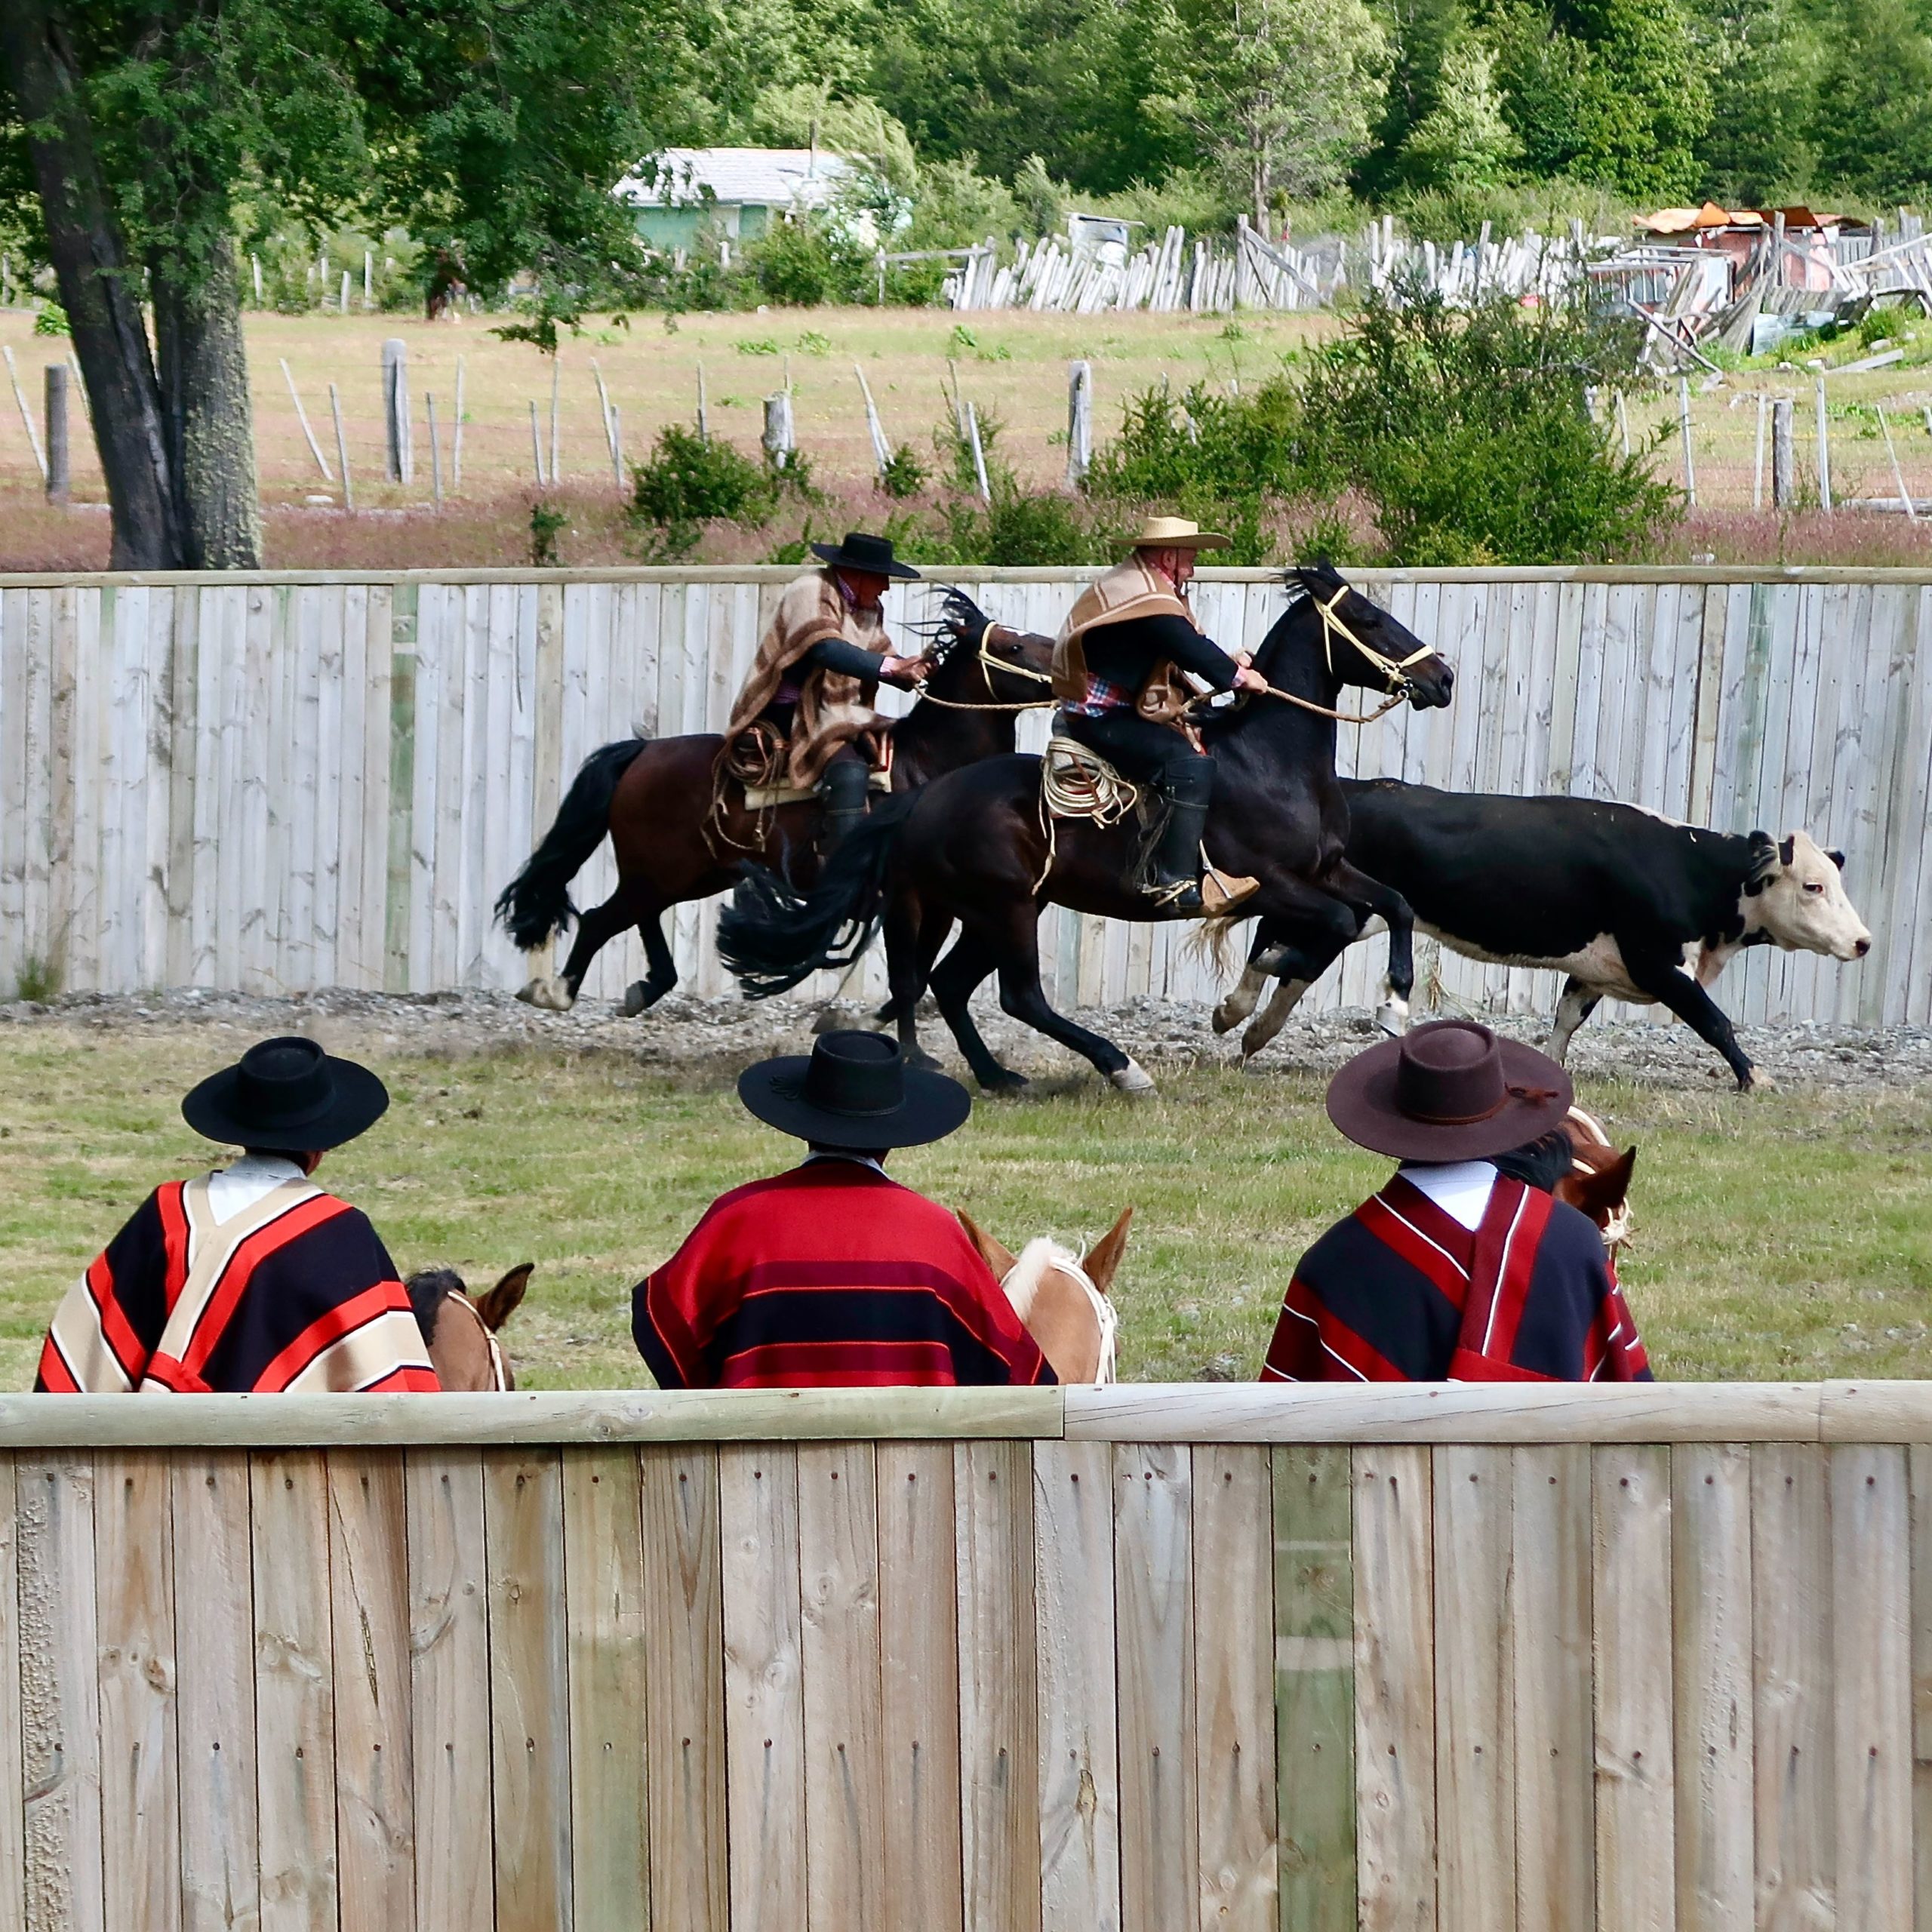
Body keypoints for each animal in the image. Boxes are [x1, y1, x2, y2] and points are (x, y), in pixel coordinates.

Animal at [491, 595, 1051, 1020]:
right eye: (1014, 645)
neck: (931, 766)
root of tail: (643, 752)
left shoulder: (935, 906)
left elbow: (915, 974)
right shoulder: (906, 901)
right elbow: (907, 975)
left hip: (684, 877)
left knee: (636, 920)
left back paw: (641, 989)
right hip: (656, 874)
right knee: (598, 920)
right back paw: (556, 992)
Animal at [722, 564, 1453, 1097]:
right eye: (1368, 618)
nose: (1441, 677)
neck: (1270, 762)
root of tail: (925, 796)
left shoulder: (1328, 869)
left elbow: (1391, 906)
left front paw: (1390, 1006)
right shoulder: (1266, 884)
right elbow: (1333, 925)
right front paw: (1241, 1005)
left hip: (993, 911)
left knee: (951, 985)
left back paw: (998, 1076)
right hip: (1001, 909)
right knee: (1016, 996)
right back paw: (1121, 1068)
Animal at [1220, 780, 1870, 1089]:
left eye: (1838, 880)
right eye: (1813, 886)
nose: (1863, 941)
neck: (1686, 865)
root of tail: (1353, 788)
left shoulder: (1596, 971)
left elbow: (1566, 1021)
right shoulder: (1659, 962)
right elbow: (1715, 1021)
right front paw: (1755, 1077)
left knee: (1285, 956)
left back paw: (1249, 1029)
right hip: (1353, 908)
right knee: (1277, 944)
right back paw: (1239, 1015)